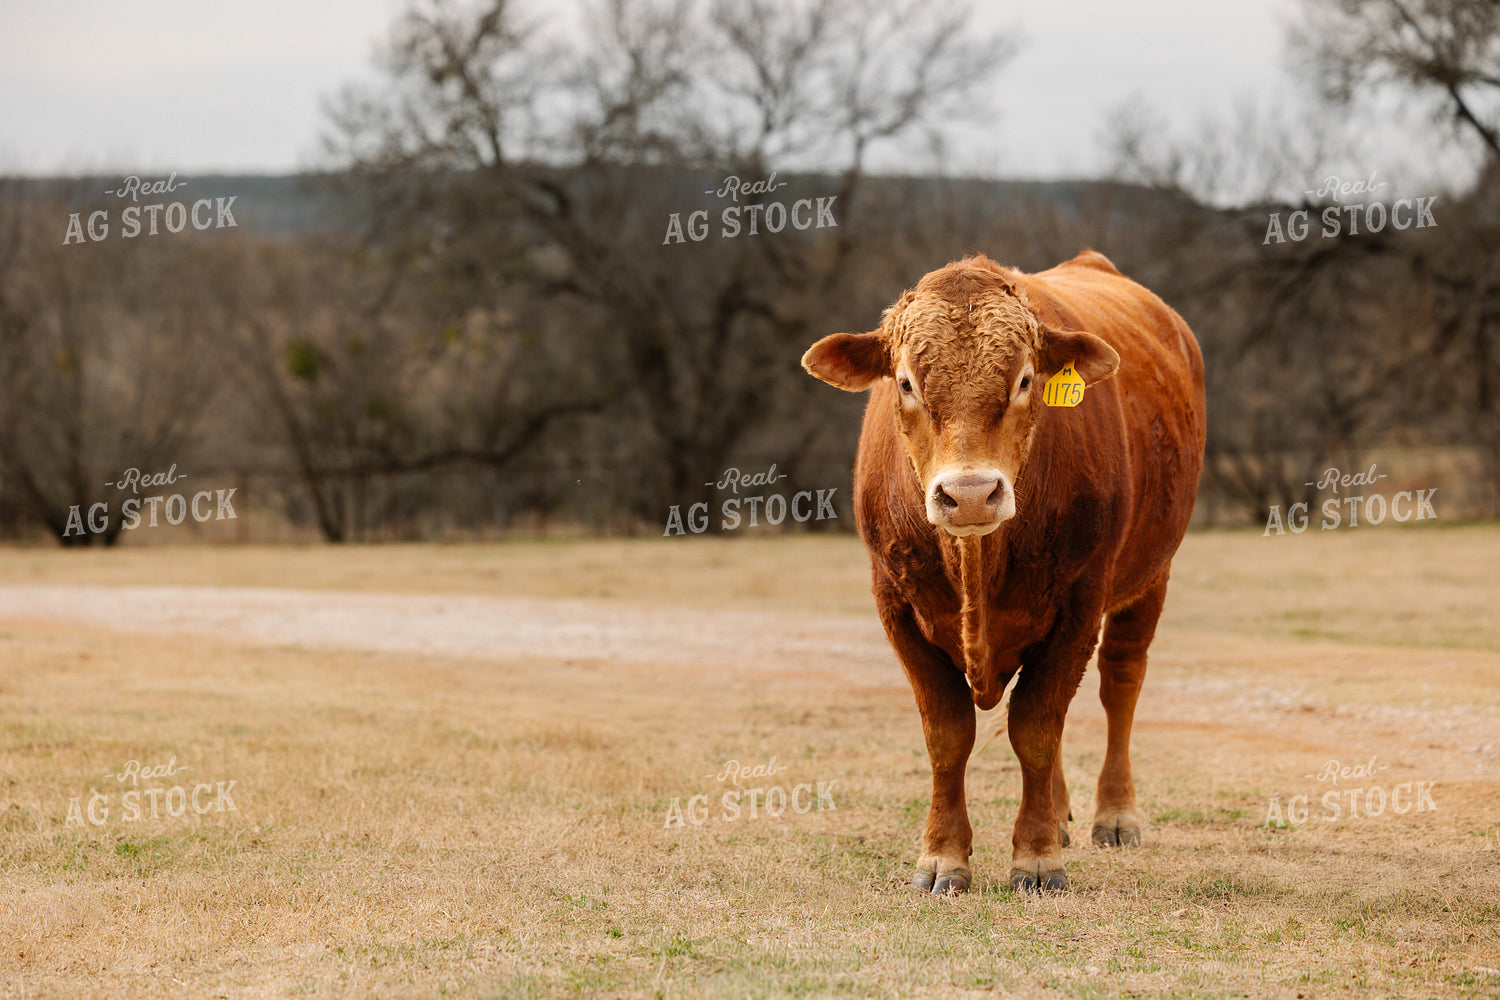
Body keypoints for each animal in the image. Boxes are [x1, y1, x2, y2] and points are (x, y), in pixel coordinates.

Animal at [801, 250, 1205, 894]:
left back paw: (1115, 815)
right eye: (907, 382)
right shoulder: (895, 604)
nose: (969, 494)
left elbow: (1036, 729)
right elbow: (948, 735)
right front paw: (943, 856)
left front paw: (1037, 857)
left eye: (1024, 380)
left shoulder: (1079, 604)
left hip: (1151, 575)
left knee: (1120, 684)